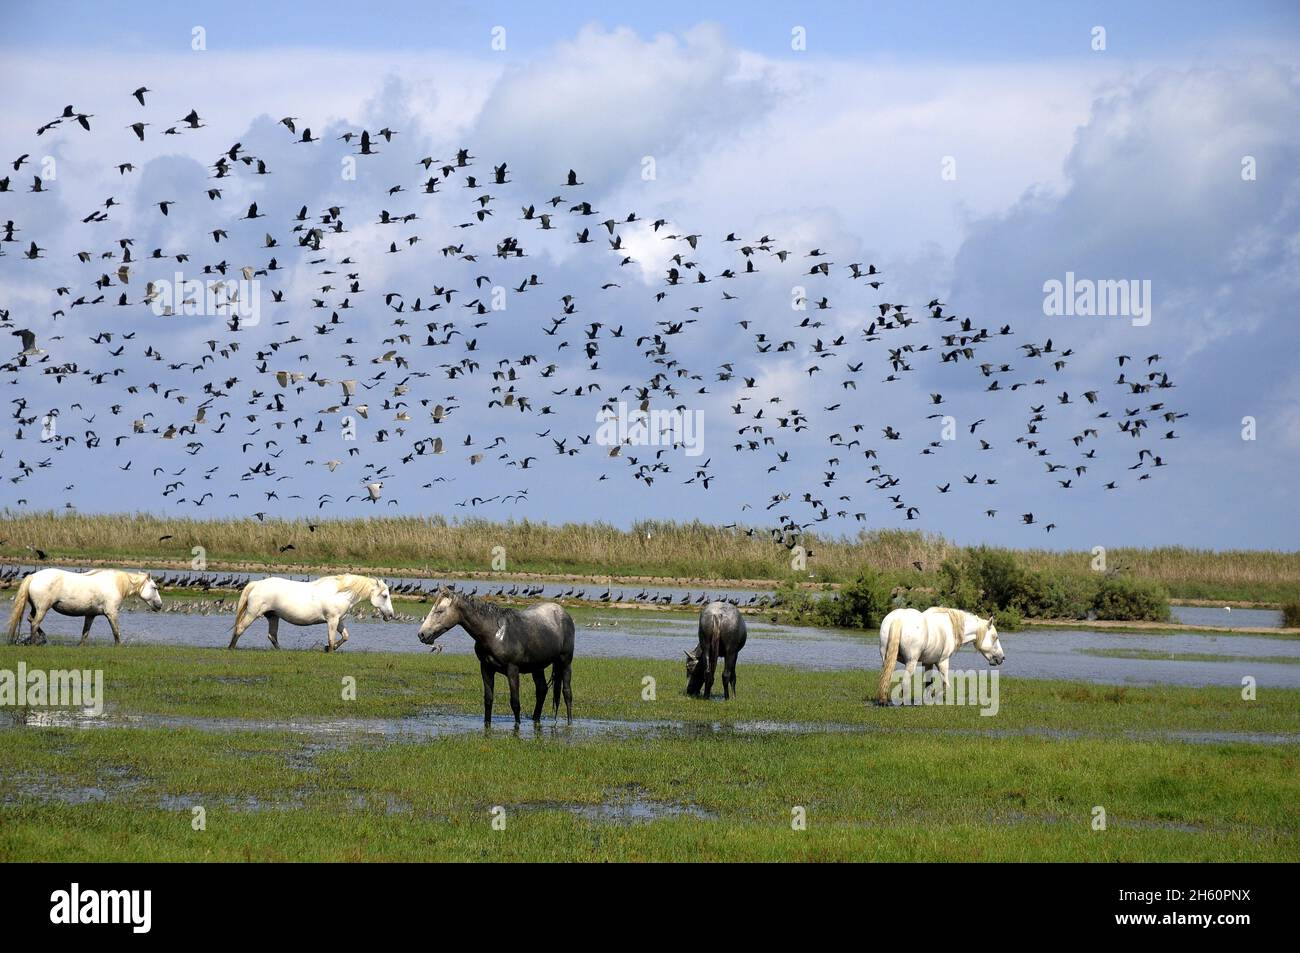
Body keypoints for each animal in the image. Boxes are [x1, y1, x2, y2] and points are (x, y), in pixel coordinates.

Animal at [6, 568, 163, 645]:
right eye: (154, 587)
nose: (160, 605)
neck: (116, 584)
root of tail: (33, 576)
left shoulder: (90, 615)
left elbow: (85, 633)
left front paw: (80, 646)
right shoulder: (111, 614)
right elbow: (116, 632)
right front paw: (119, 646)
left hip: (36, 608)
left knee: (30, 619)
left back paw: (43, 639)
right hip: (43, 608)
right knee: (34, 623)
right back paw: (35, 642)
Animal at [229, 574, 394, 651]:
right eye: (385, 596)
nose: (391, 615)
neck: (340, 592)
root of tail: (257, 584)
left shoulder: (339, 620)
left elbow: (345, 636)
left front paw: (328, 648)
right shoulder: (332, 620)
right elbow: (331, 639)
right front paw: (329, 650)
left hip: (273, 616)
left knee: (272, 636)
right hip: (252, 614)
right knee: (240, 628)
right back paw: (231, 648)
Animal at [417, 587, 574, 726]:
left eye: (440, 610)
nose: (422, 634)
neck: (493, 632)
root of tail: (563, 612)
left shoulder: (512, 670)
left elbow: (515, 702)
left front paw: (517, 726)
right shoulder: (486, 668)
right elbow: (488, 700)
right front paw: (487, 725)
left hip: (565, 662)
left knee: (567, 693)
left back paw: (569, 723)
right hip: (537, 667)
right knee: (542, 690)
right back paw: (536, 720)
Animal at [875, 606, 1004, 705]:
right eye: (995, 637)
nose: (1002, 658)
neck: (951, 627)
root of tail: (898, 619)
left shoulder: (928, 663)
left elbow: (929, 683)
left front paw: (927, 700)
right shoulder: (943, 661)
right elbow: (946, 684)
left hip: (887, 659)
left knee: (886, 678)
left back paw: (884, 701)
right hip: (911, 662)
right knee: (905, 682)